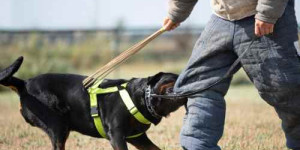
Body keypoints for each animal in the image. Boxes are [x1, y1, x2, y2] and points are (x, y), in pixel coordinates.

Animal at [0, 56, 186, 150]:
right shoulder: (116, 134)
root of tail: (25, 84)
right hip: (57, 126)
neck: (141, 99)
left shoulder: (138, 137)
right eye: (174, 78)